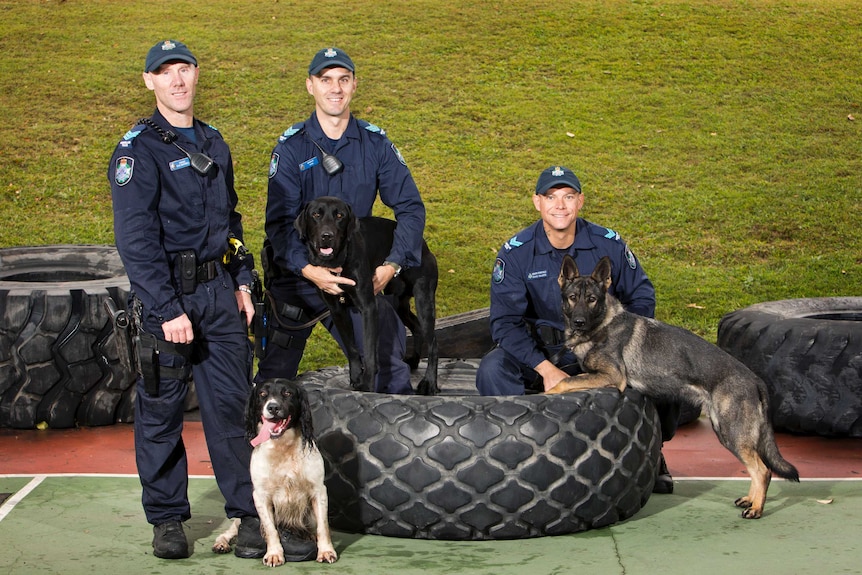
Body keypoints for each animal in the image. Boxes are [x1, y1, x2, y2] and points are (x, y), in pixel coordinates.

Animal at [213, 378, 338, 568]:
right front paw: (274, 554)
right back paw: (221, 543)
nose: (272, 407)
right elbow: (271, 529)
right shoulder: (260, 495)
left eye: (287, 393)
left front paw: (325, 552)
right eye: (263, 394)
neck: (283, 448)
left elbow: (323, 527)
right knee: (230, 530)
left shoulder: (319, 491)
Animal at [298, 198, 446, 396]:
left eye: (340, 216)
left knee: (434, 342)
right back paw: (414, 361)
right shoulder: (337, 310)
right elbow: (351, 348)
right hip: (399, 303)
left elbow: (369, 353)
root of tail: (423, 245)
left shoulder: (368, 307)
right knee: (417, 328)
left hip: (424, 300)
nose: (326, 236)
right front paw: (355, 377)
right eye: (316, 214)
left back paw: (429, 383)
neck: (338, 263)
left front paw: (367, 386)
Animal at [552, 255, 800, 516]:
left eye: (592, 299)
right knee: (756, 467)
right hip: (726, 433)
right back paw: (750, 500)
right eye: (572, 297)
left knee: (763, 470)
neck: (602, 324)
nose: (578, 322)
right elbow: (569, 378)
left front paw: (547, 391)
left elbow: (563, 381)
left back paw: (756, 509)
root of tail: (755, 380)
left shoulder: (612, 376)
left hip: (732, 432)